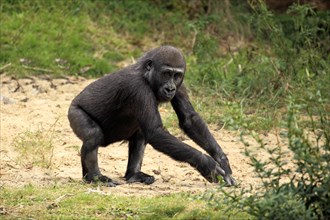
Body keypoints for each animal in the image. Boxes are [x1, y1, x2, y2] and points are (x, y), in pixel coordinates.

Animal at [68, 45, 236, 186]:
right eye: (166, 73)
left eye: (176, 75)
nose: (170, 88)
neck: (146, 74)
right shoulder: (138, 88)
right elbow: (155, 131)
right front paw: (207, 164)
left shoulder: (180, 85)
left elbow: (189, 119)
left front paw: (222, 160)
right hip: (74, 112)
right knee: (93, 135)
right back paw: (95, 177)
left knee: (140, 135)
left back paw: (133, 174)